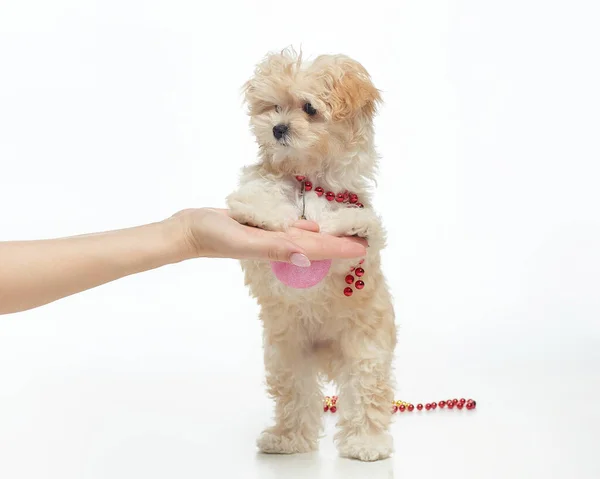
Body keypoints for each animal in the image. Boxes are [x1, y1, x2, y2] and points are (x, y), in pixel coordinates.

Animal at [227, 47, 396, 462]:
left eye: (309, 108)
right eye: (273, 106)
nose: (278, 129)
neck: (309, 179)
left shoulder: (358, 257)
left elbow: (364, 233)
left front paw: (354, 226)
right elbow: (258, 201)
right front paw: (256, 213)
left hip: (365, 353)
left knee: (367, 396)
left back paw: (366, 444)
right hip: (286, 357)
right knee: (296, 399)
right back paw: (287, 439)